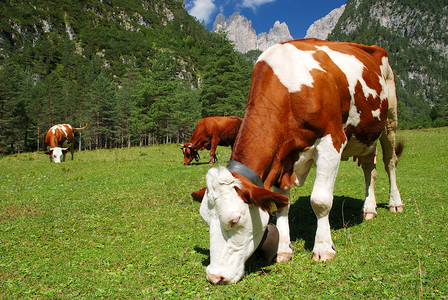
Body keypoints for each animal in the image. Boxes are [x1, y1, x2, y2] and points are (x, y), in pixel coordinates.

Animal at [191, 39, 404, 284]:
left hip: (390, 118)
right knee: (370, 168)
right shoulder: (283, 157)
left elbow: (320, 200)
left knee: (389, 162)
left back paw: (395, 202)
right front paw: (283, 249)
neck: (290, 85)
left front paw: (323, 248)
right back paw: (368, 208)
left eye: (234, 220)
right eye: (206, 220)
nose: (215, 276)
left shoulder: (332, 140)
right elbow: (283, 204)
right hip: (367, 134)